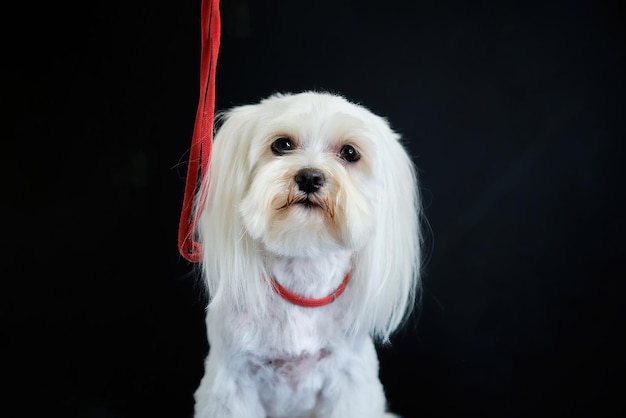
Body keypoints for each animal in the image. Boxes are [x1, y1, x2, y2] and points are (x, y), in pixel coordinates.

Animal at [193, 91, 422, 418]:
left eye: (350, 152)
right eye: (282, 144)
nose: (310, 177)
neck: (304, 270)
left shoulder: (350, 378)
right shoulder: (231, 383)